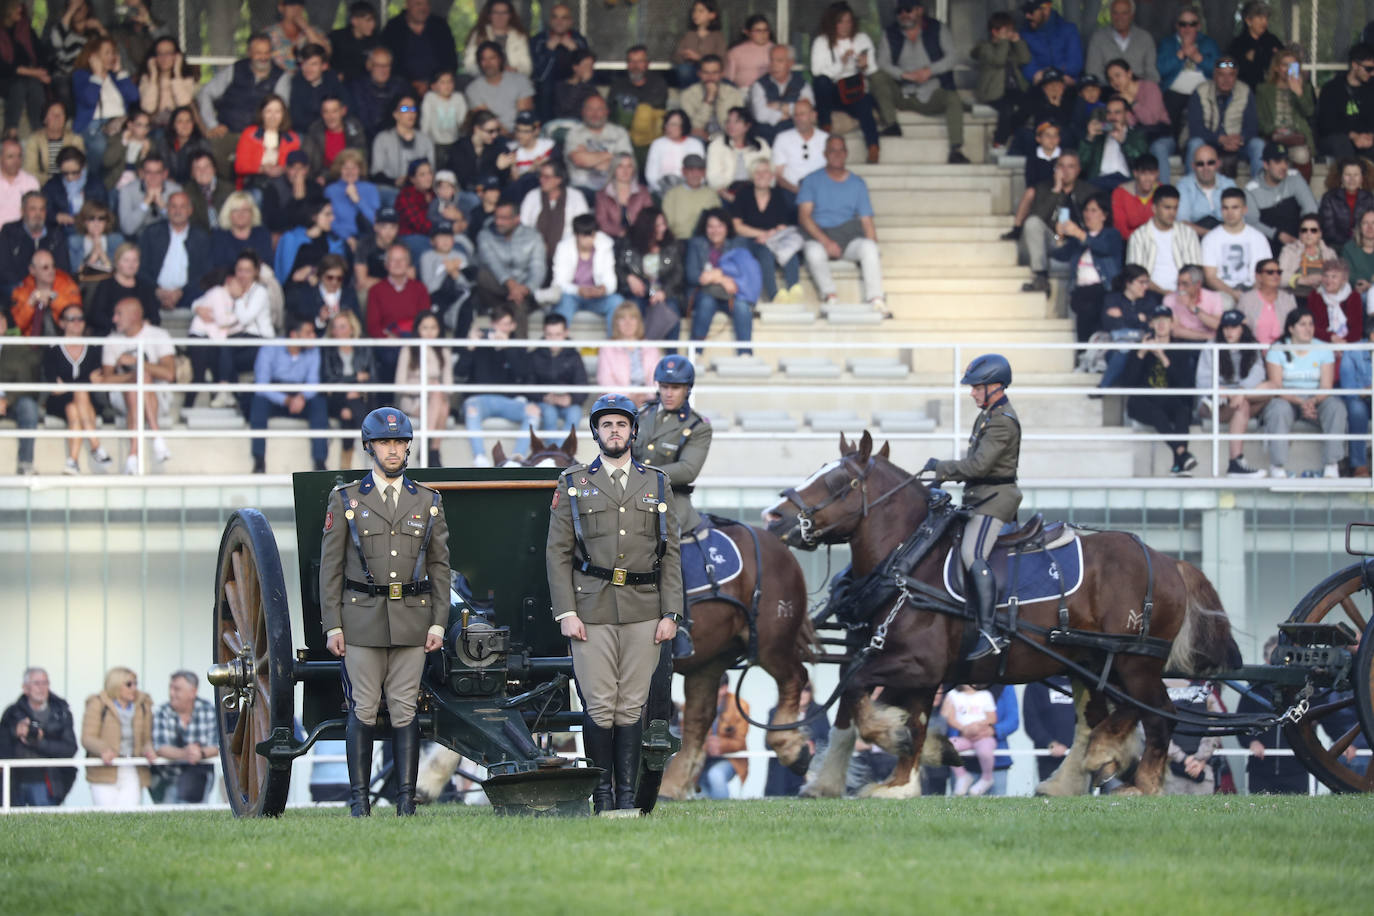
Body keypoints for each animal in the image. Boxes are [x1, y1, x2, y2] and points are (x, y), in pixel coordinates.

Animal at [414, 425, 813, 796]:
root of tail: (775, 544)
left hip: (770, 645)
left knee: (794, 677)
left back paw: (793, 751)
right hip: (710, 663)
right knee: (700, 718)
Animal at [763, 433, 1236, 796]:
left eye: (838, 481)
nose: (773, 517)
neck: (910, 560)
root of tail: (1167, 560)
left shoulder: (919, 664)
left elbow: (864, 695)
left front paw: (893, 753)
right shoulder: (909, 668)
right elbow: (869, 711)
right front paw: (875, 777)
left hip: (1134, 661)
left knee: (1157, 713)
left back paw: (1139, 779)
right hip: (1092, 663)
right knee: (1100, 719)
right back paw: (1072, 778)